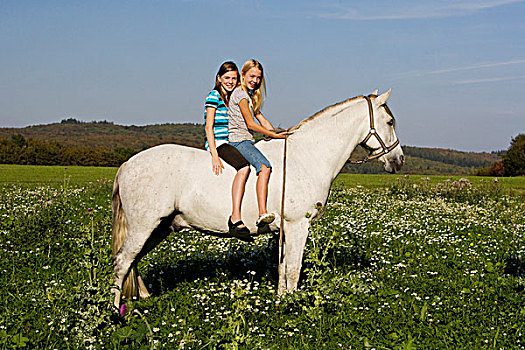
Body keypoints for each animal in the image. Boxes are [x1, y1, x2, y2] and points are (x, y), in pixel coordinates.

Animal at [111, 89, 406, 308]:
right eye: (390, 122)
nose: (399, 160)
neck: (306, 155)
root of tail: (127, 164)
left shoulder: (286, 229)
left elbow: (283, 267)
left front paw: (282, 299)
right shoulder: (298, 226)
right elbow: (293, 269)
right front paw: (291, 305)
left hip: (159, 228)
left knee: (132, 260)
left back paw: (142, 298)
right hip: (144, 227)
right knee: (123, 262)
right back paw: (116, 312)